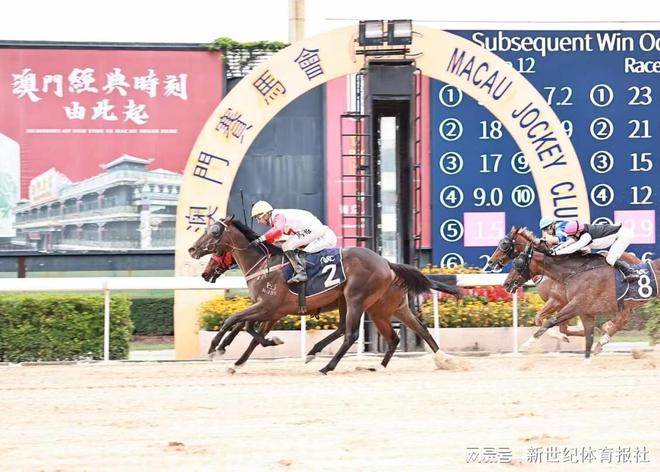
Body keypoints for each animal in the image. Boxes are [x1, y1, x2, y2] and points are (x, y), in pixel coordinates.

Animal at [189, 216, 458, 374]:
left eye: (214, 232)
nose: (192, 250)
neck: (265, 264)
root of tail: (387, 262)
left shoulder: (268, 307)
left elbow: (235, 321)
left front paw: (215, 348)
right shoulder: (270, 311)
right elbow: (248, 330)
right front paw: (236, 360)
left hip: (358, 300)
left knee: (351, 334)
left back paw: (327, 366)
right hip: (385, 307)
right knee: (410, 332)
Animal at [502, 245, 656, 360]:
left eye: (517, 263)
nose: (506, 284)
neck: (573, 272)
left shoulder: (569, 303)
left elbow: (551, 322)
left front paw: (526, 345)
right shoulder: (568, 304)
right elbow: (543, 319)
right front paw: (565, 337)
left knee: (623, 318)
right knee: (622, 318)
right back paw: (605, 332)